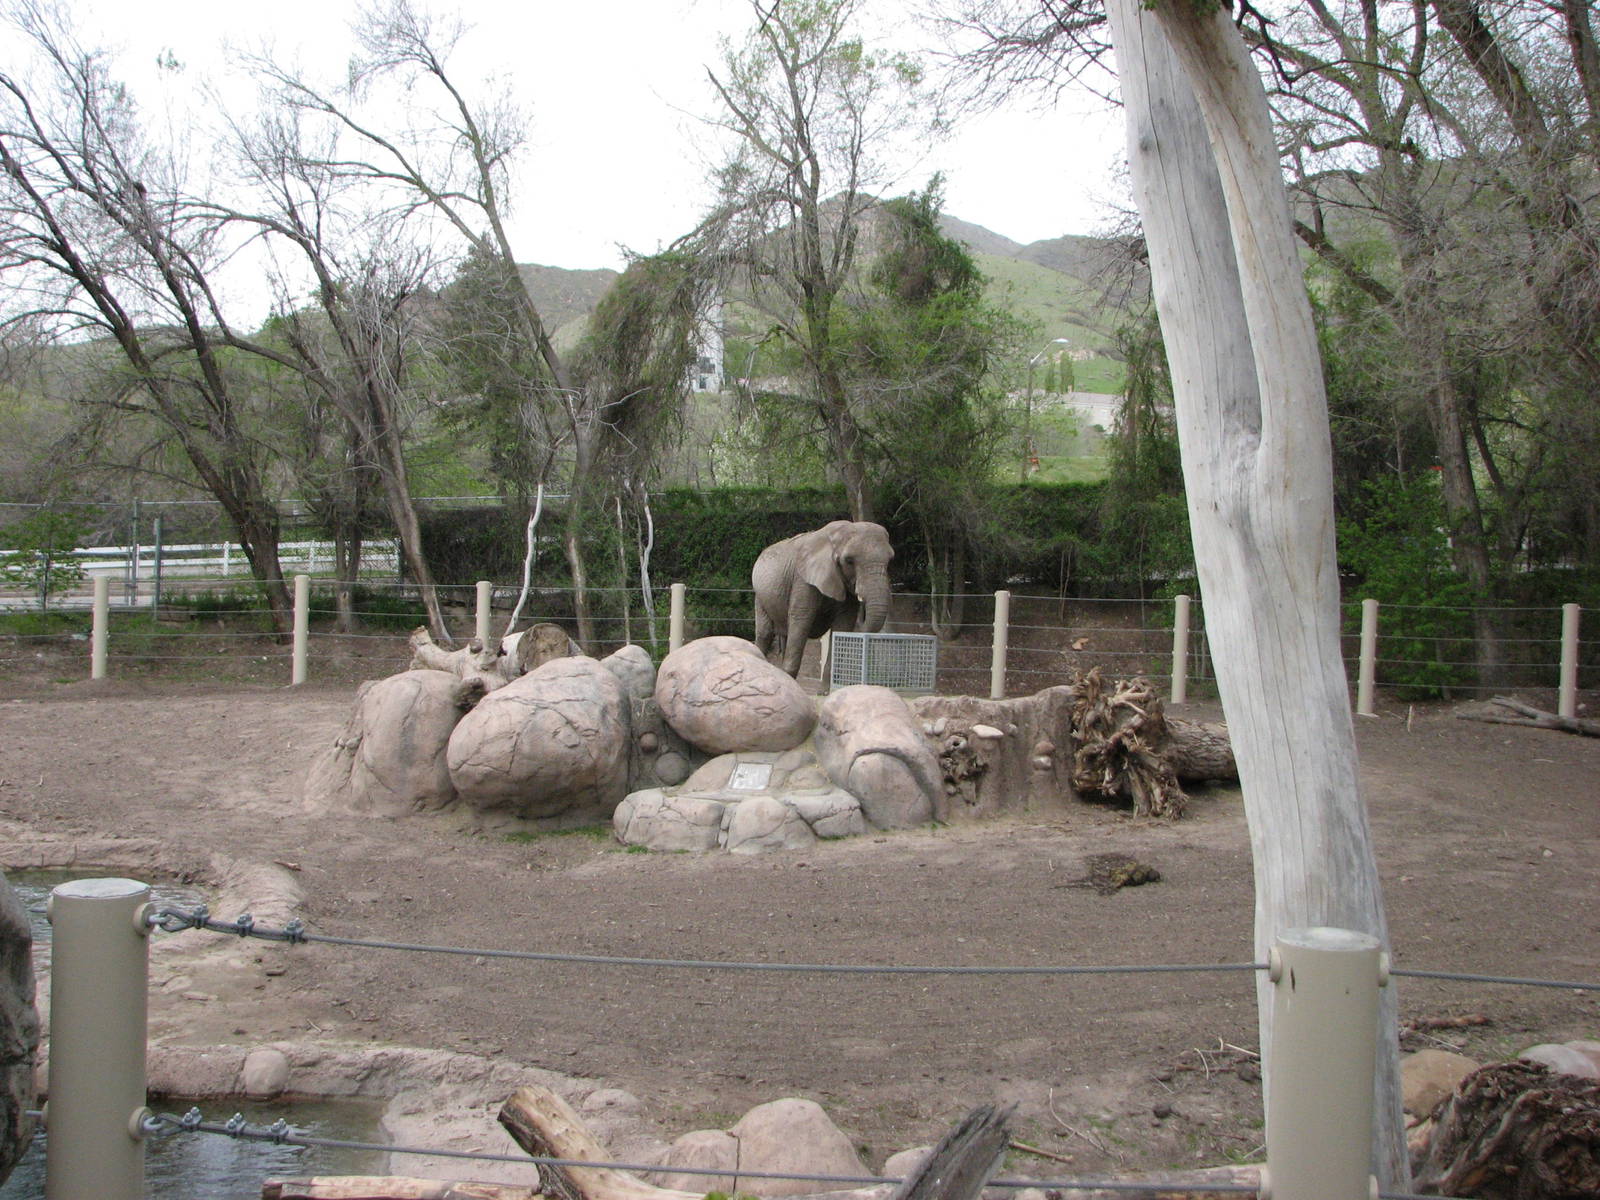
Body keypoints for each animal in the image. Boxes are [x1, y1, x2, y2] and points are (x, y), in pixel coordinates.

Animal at [752, 520, 895, 676]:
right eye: (849, 561)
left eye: (890, 560)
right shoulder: (803, 579)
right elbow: (801, 619)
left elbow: (844, 624)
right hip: (760, 596)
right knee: (765, 634)